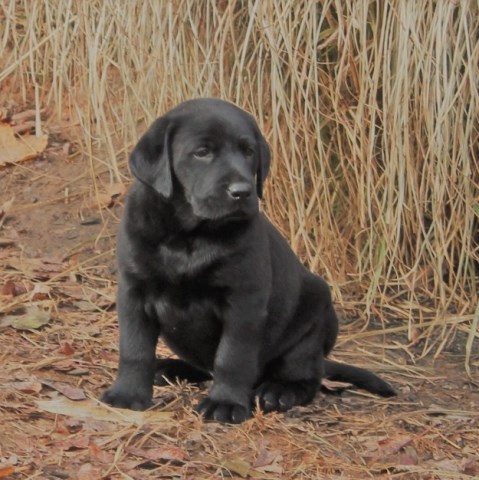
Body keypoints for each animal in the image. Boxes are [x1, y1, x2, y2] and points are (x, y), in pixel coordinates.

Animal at [102, 97, 398, 424]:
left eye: (248, 152)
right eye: (202, 152)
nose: (242, 192)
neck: (190, 234)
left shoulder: (244, 301)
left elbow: (232, 357)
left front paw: (225, 403)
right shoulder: (134, 291)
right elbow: (134, 349)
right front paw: (128, 393)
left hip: (315, 316)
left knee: (307, 375)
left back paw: (279, 391)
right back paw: (168, 368)